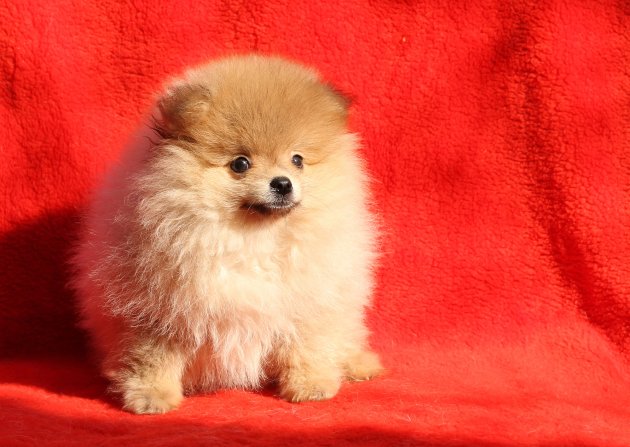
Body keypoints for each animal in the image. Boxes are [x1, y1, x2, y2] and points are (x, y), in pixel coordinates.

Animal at [71, 54, 382, 414]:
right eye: (240, 164)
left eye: (297, 160)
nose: (282, 183)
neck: (252, 239)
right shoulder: (154, 311)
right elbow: (153, 357)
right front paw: (151, 396)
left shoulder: (309, 304)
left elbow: (306, 347)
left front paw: (311, 385)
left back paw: (359, 363)